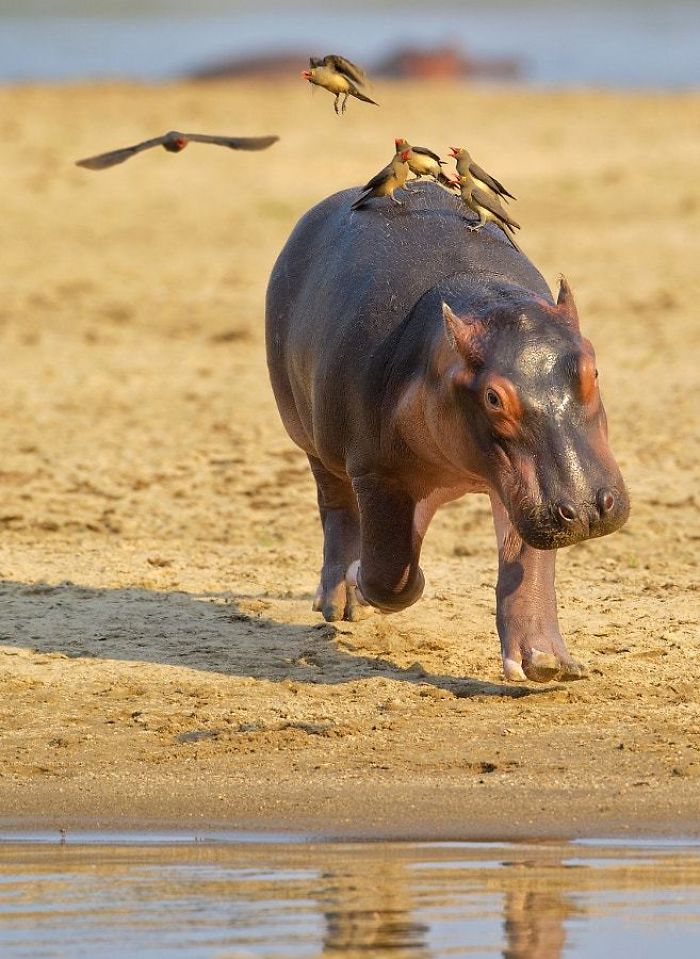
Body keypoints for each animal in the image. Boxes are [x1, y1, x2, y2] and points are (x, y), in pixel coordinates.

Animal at [265, 181, 629, 682]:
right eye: (493, 398)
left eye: (593, 369)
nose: (590, 509)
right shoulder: (375, 472)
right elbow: (390, 572)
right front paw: (366, 582)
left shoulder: (526, 494)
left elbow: (527, 565)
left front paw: (545, 663)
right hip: (311, 437)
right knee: (335, 505)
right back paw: (339, 599)